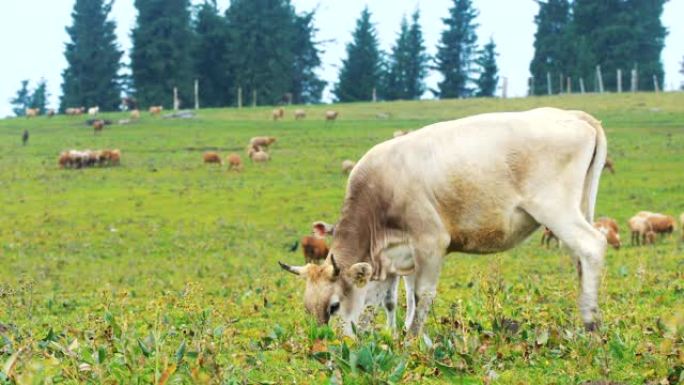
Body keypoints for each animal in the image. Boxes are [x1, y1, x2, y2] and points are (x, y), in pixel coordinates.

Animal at [278, 108, 608, 336]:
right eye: (308, 308)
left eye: (333, 306)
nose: (331, 345)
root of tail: (572, 114)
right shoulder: (396, 257)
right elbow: (390, 300)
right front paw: (387, 335)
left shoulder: (430, 243)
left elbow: (422, 295)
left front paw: (412, 339)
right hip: (576, 208)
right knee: (580, 257)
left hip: (556, 209)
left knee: (592, 245)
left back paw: (590, 323)